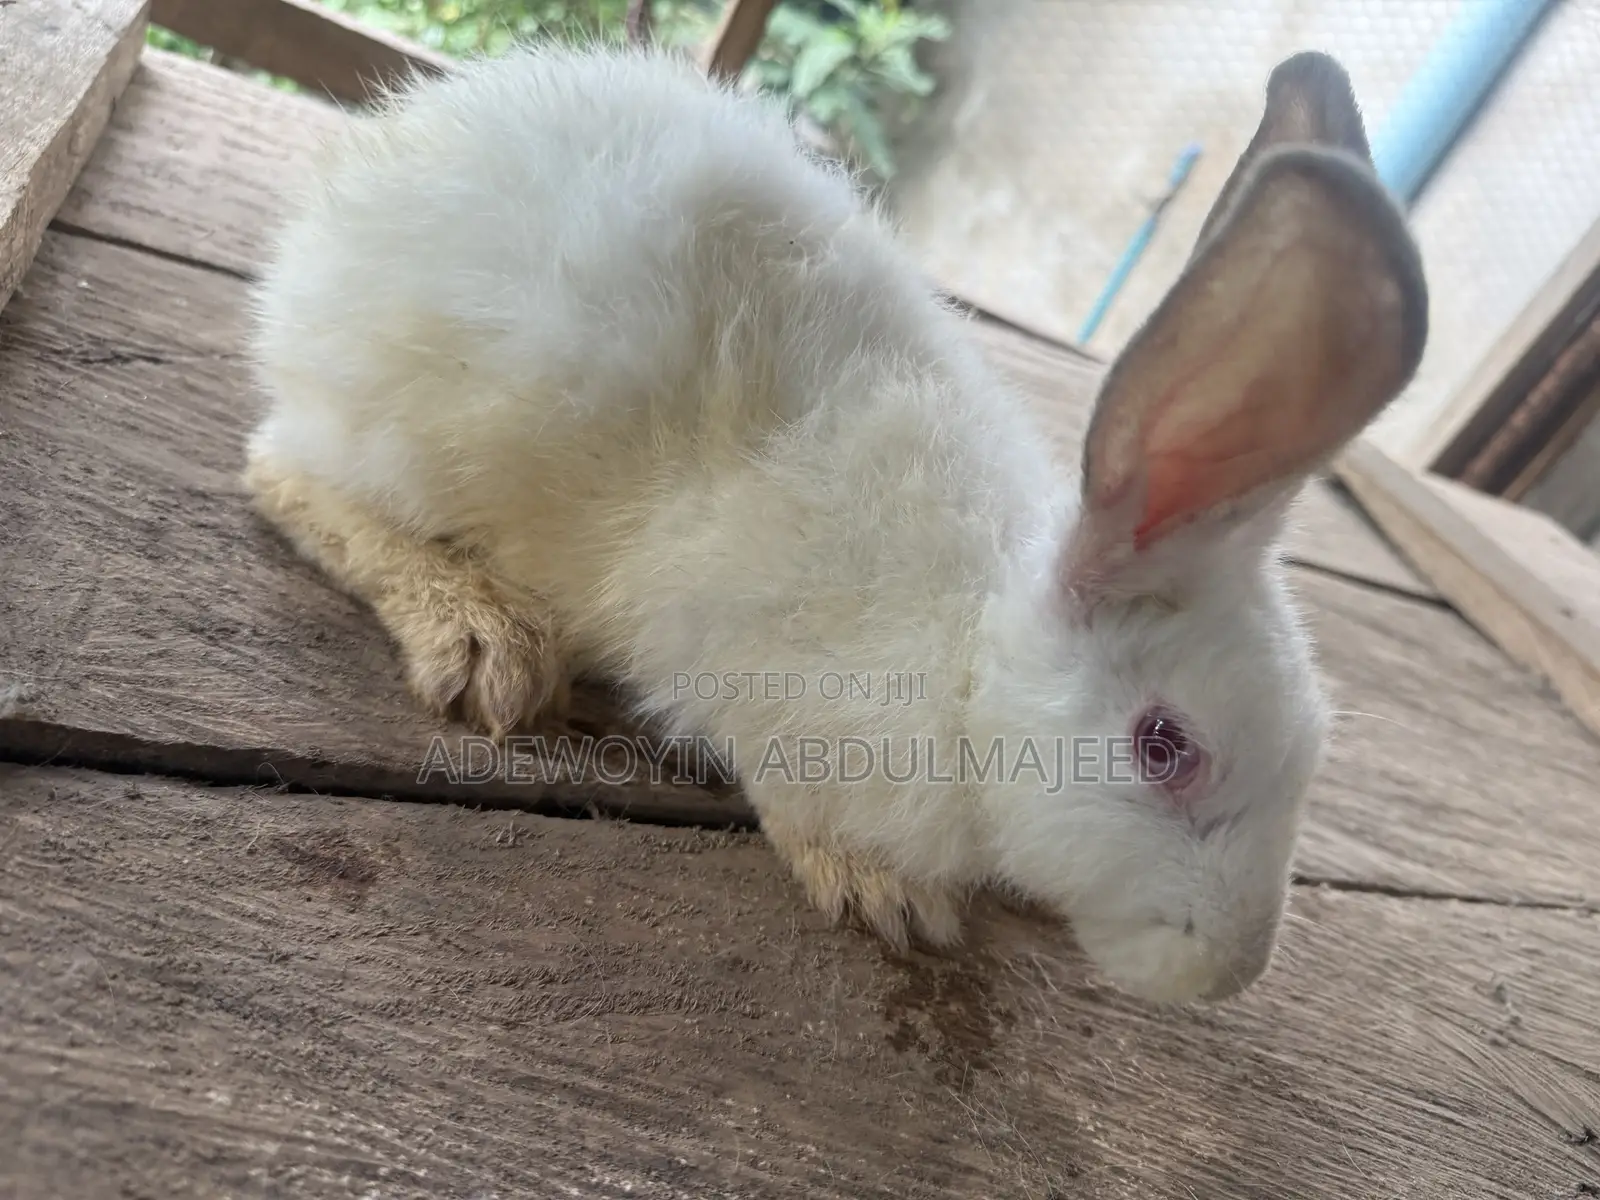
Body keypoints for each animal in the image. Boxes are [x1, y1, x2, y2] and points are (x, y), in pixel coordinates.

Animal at [242, 43, 1426, 1005]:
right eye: (1165, 747)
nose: (1229, 971)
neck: (971, 667)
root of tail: (334, 216)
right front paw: (883, 892)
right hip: (415, 433)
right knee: (283, 475)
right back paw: (484, 637)